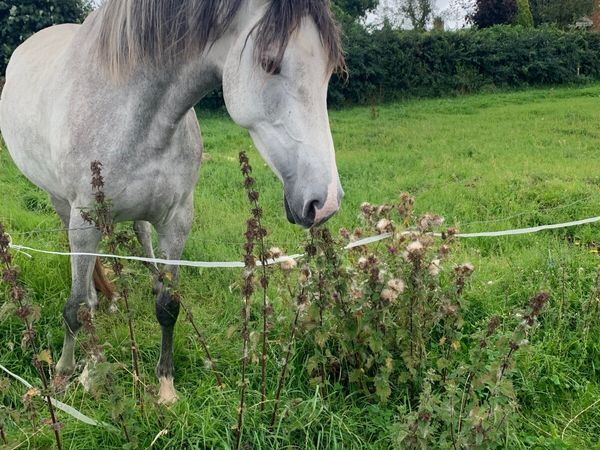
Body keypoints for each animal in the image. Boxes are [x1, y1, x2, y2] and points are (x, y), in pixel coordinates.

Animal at [0, 0, 344, 402]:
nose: (326, 202)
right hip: (60, 202)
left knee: (140, 234)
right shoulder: (83, 219)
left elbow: (168, 305)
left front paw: (165, 386)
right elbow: (76, 307)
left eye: (330, 69)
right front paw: (70, 372)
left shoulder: (177, 220)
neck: (132, 112)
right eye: (269, 62)